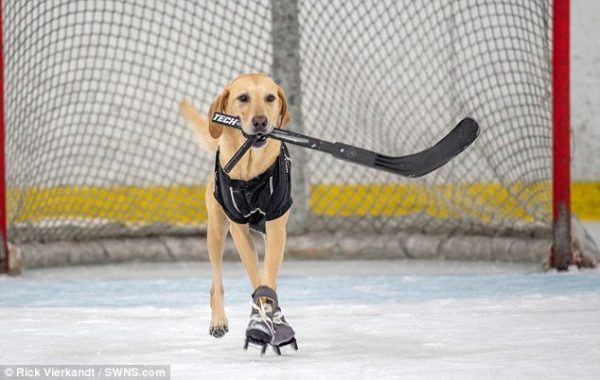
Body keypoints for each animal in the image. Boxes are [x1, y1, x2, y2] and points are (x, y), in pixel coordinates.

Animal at [180, 73, 298, 354]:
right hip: (215, 232)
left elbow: (267, 277)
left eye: (270, 98)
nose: (260, 122)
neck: (249, 168)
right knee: (216, 283)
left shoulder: (276, 227)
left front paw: (274, 319)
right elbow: (256, 277)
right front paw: (261, 320)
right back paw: (218, 321)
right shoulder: (238, 227)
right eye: (243, 98)